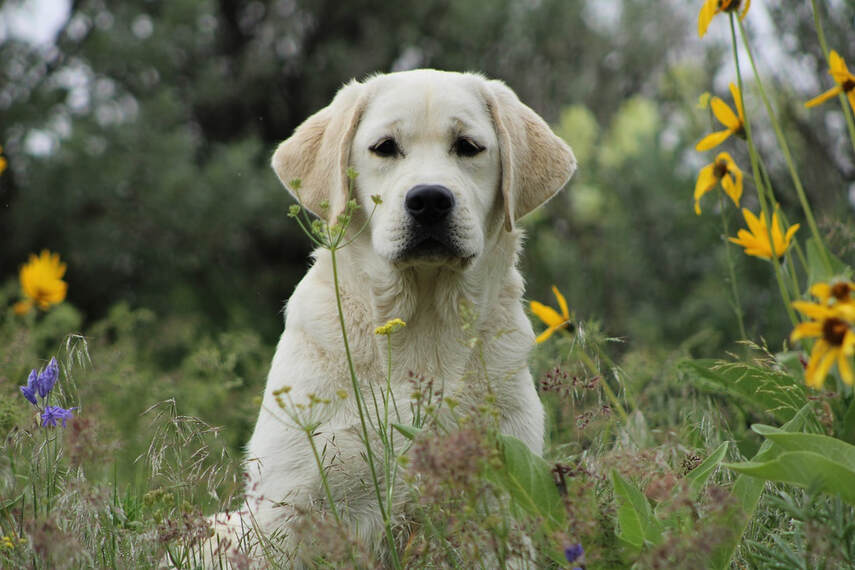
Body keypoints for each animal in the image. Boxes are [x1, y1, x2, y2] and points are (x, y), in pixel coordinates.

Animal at [206, 69, 576, 560]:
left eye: (468, 147)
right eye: (384, 147)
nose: (430, 200)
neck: (421, 323)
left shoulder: (498, 501)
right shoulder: (290, 504)